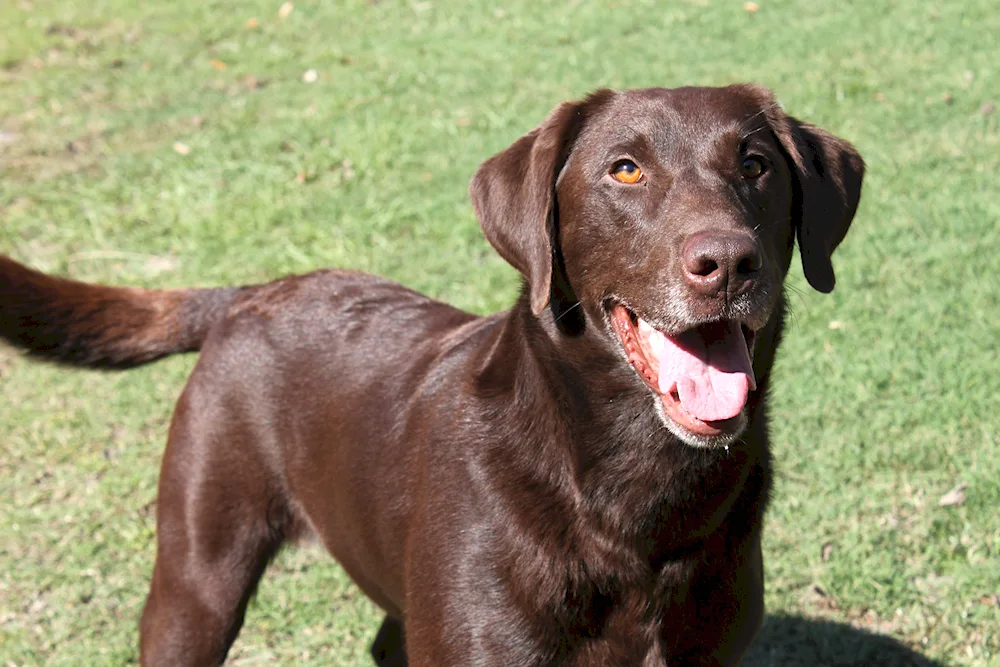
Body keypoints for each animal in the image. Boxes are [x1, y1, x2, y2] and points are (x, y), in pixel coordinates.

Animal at [0, 85, 860, 667]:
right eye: (625, 170)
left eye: (756, 164)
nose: (729, 262)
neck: (630, 490)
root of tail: (252, 291)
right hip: (197, 576)